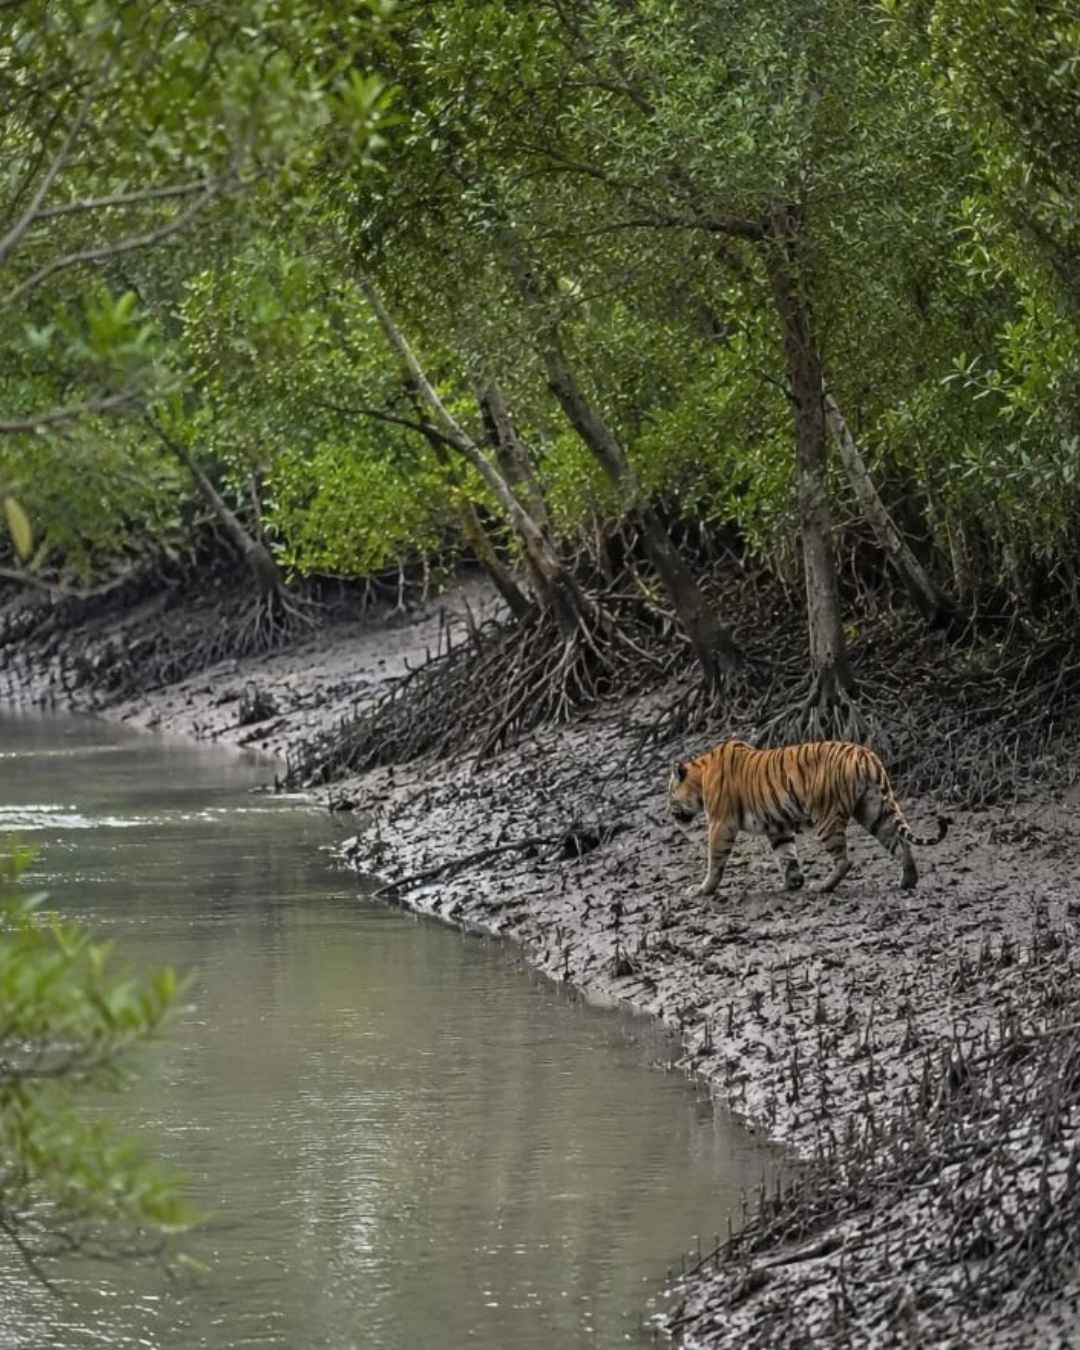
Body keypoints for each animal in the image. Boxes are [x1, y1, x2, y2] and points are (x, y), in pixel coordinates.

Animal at [668, 739, 950, 897]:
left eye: (670, 793)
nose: (669, 813)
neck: (701, 774)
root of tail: (866, 755)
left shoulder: (720, 823)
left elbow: (714, 860)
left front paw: (702, 890)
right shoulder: (777, 825)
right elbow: (786, 854)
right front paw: (793, 882)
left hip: (827, 817)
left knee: (845, 860)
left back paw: (823, 887)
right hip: (873, 810)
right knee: (900, 843)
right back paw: (907, 880)